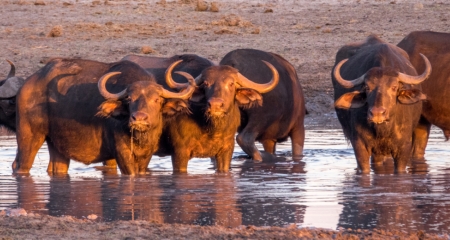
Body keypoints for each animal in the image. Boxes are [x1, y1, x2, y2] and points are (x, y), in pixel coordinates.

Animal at [12, 58, 194, 174]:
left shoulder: (147, 154)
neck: (140, 137)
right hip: (28, 137)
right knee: (20, 165)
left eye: (156, 99)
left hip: (56, 144)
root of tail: (27, 85)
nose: (139, 119)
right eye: (129, 99)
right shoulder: (121, 152)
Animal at [330, 35, 432, 172]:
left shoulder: (403, 148)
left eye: (394, 87)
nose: (377, 113)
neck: (382, 129)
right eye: (367, 87)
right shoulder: (360, 146)